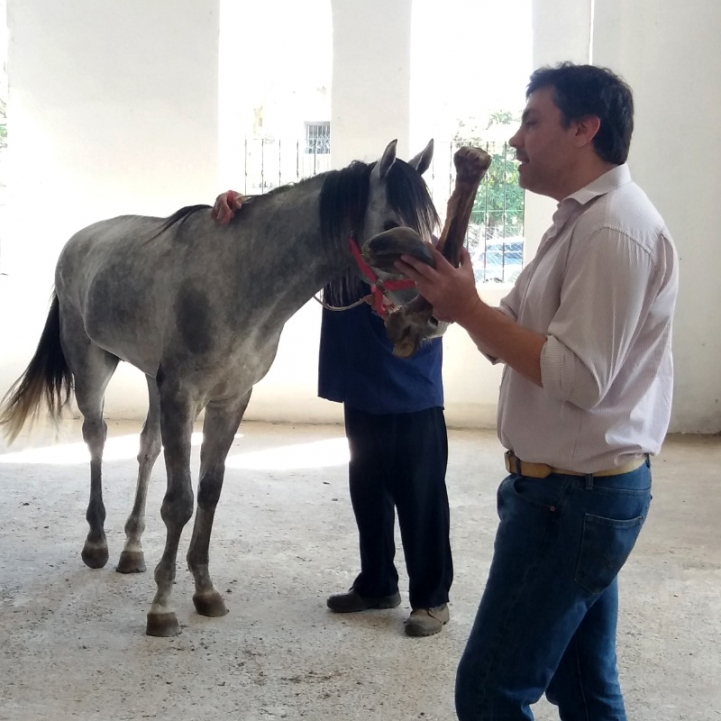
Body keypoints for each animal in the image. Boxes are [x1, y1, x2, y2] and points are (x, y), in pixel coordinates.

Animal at [0, 139, 438, 636]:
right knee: (96, 437)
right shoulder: (183, 395)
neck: (240, 280)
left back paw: (132, 549)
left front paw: (204, 590)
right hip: (91, 364)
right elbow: (179, 502)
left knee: (147, 448)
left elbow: (209, 490)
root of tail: (78, 240)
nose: (429, 316)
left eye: (431, 226)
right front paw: (162, 606)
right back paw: (97, 543)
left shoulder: (229, 399)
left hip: (152, 379)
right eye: (389, 227)